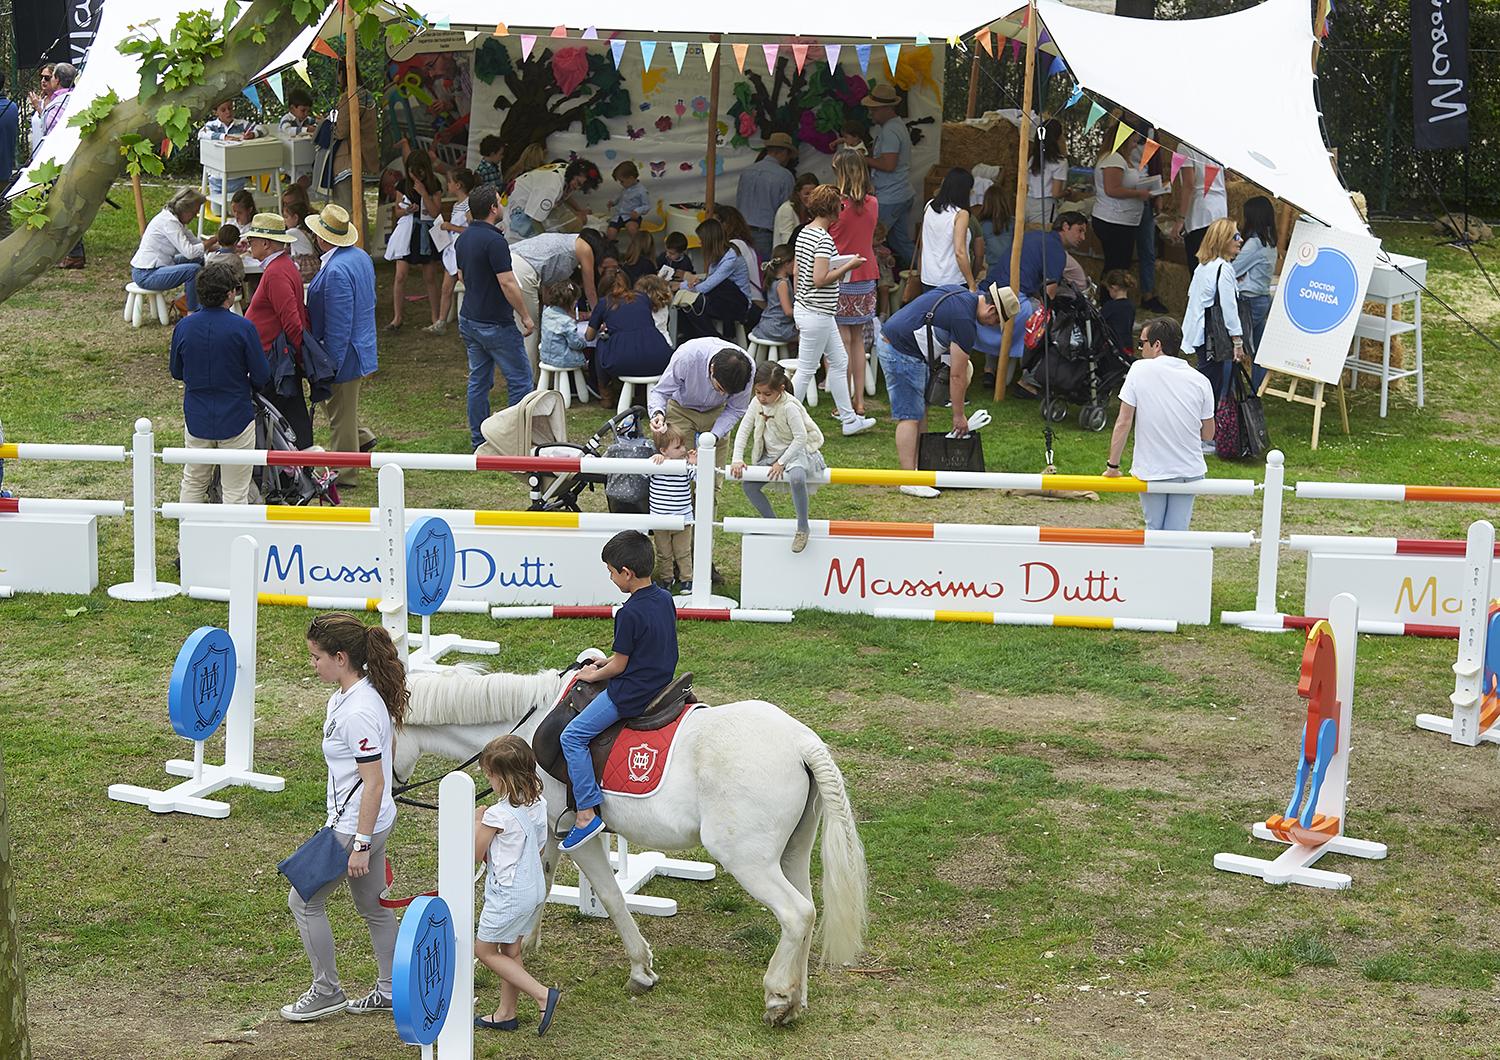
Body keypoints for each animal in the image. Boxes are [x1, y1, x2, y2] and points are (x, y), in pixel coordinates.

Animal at [399, 653, 870, 1025]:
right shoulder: (548, 825)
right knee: (809, 910)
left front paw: (641, 969)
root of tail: (802, 743)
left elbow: (610, 895)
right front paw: (524, 943)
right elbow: (543, 878)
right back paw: (796, 998)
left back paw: (778, 997)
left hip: (748, 861)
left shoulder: (580, 837)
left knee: (797, 913)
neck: (530, 726)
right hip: (792, 854)